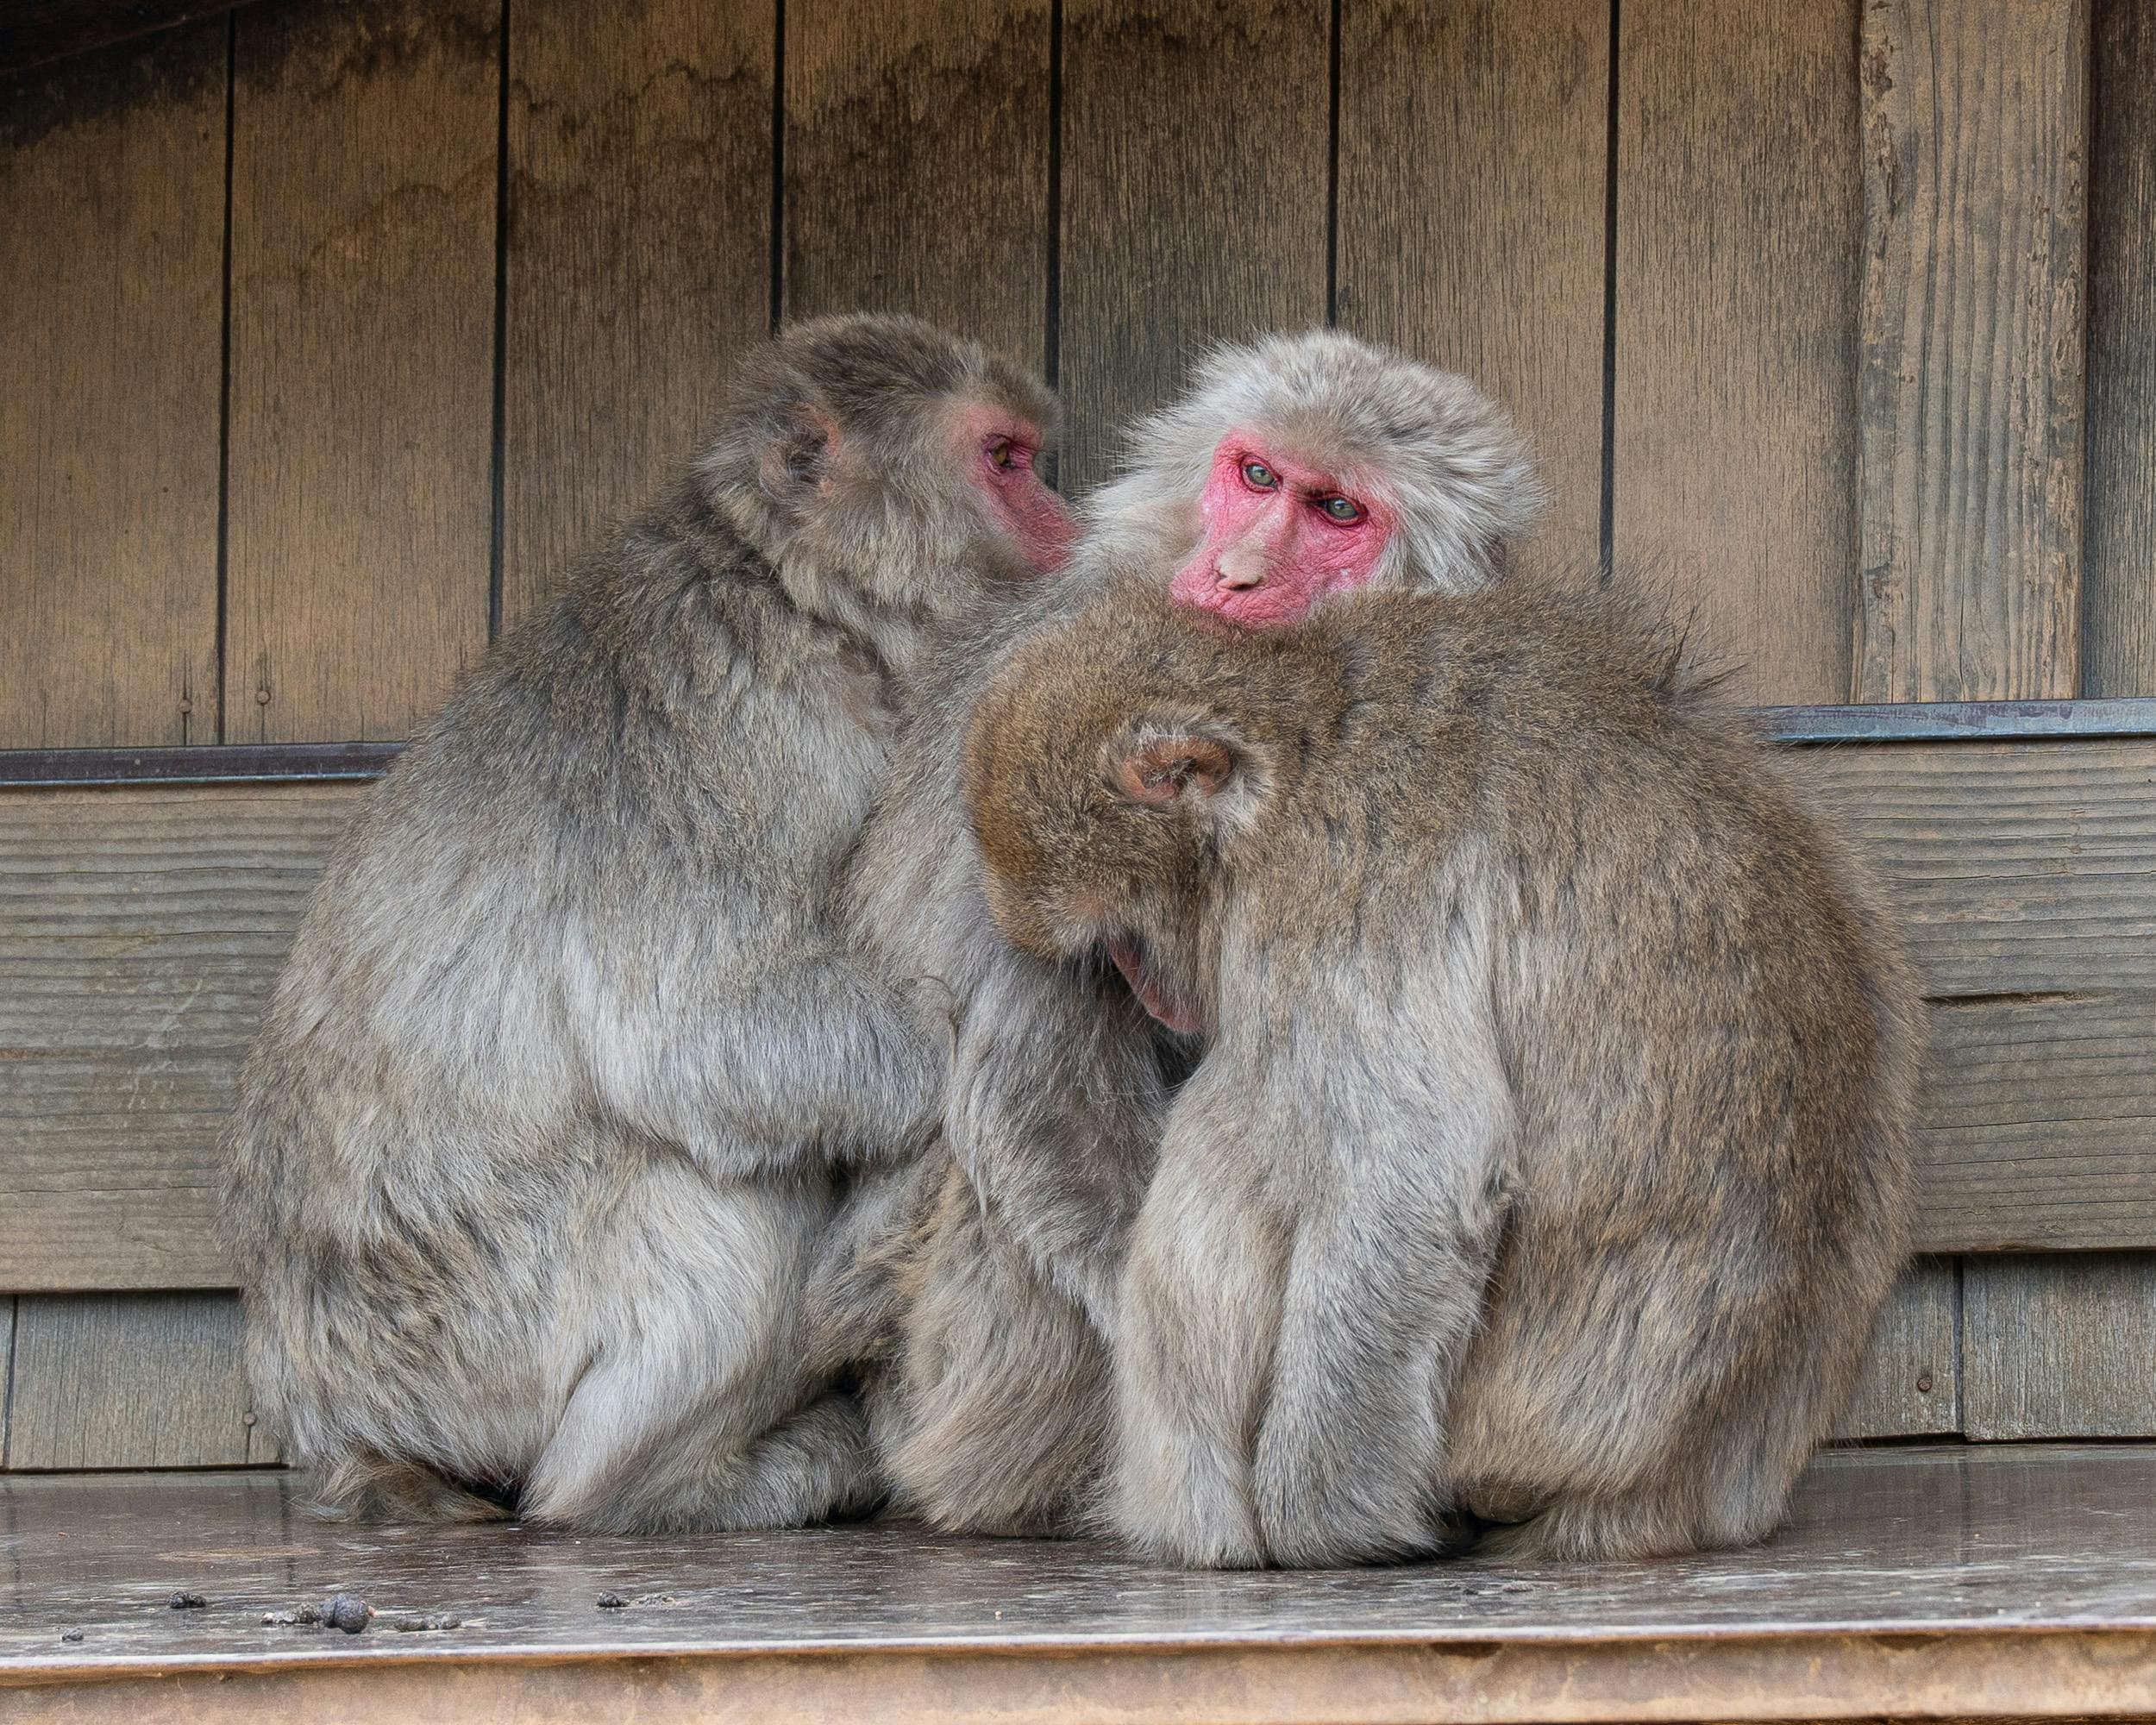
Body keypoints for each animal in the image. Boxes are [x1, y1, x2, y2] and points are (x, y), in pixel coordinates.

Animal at [220, 313, 1075, 1534]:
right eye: (1006, 460)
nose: (1067, 518)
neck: (802, 595)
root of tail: (325, 1417)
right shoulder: (733, 730)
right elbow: (702, 1030)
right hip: (478, 1334)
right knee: (716, 1181)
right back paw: (658, 1485)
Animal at [961, 566, 1919, 1568]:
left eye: (1124, 940)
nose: (1153, 996)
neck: (1302, 747)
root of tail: (1663, 1489)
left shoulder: (1339, 885)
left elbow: (1411, 1168)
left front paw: (1321, 1516)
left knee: (1237, 1121)